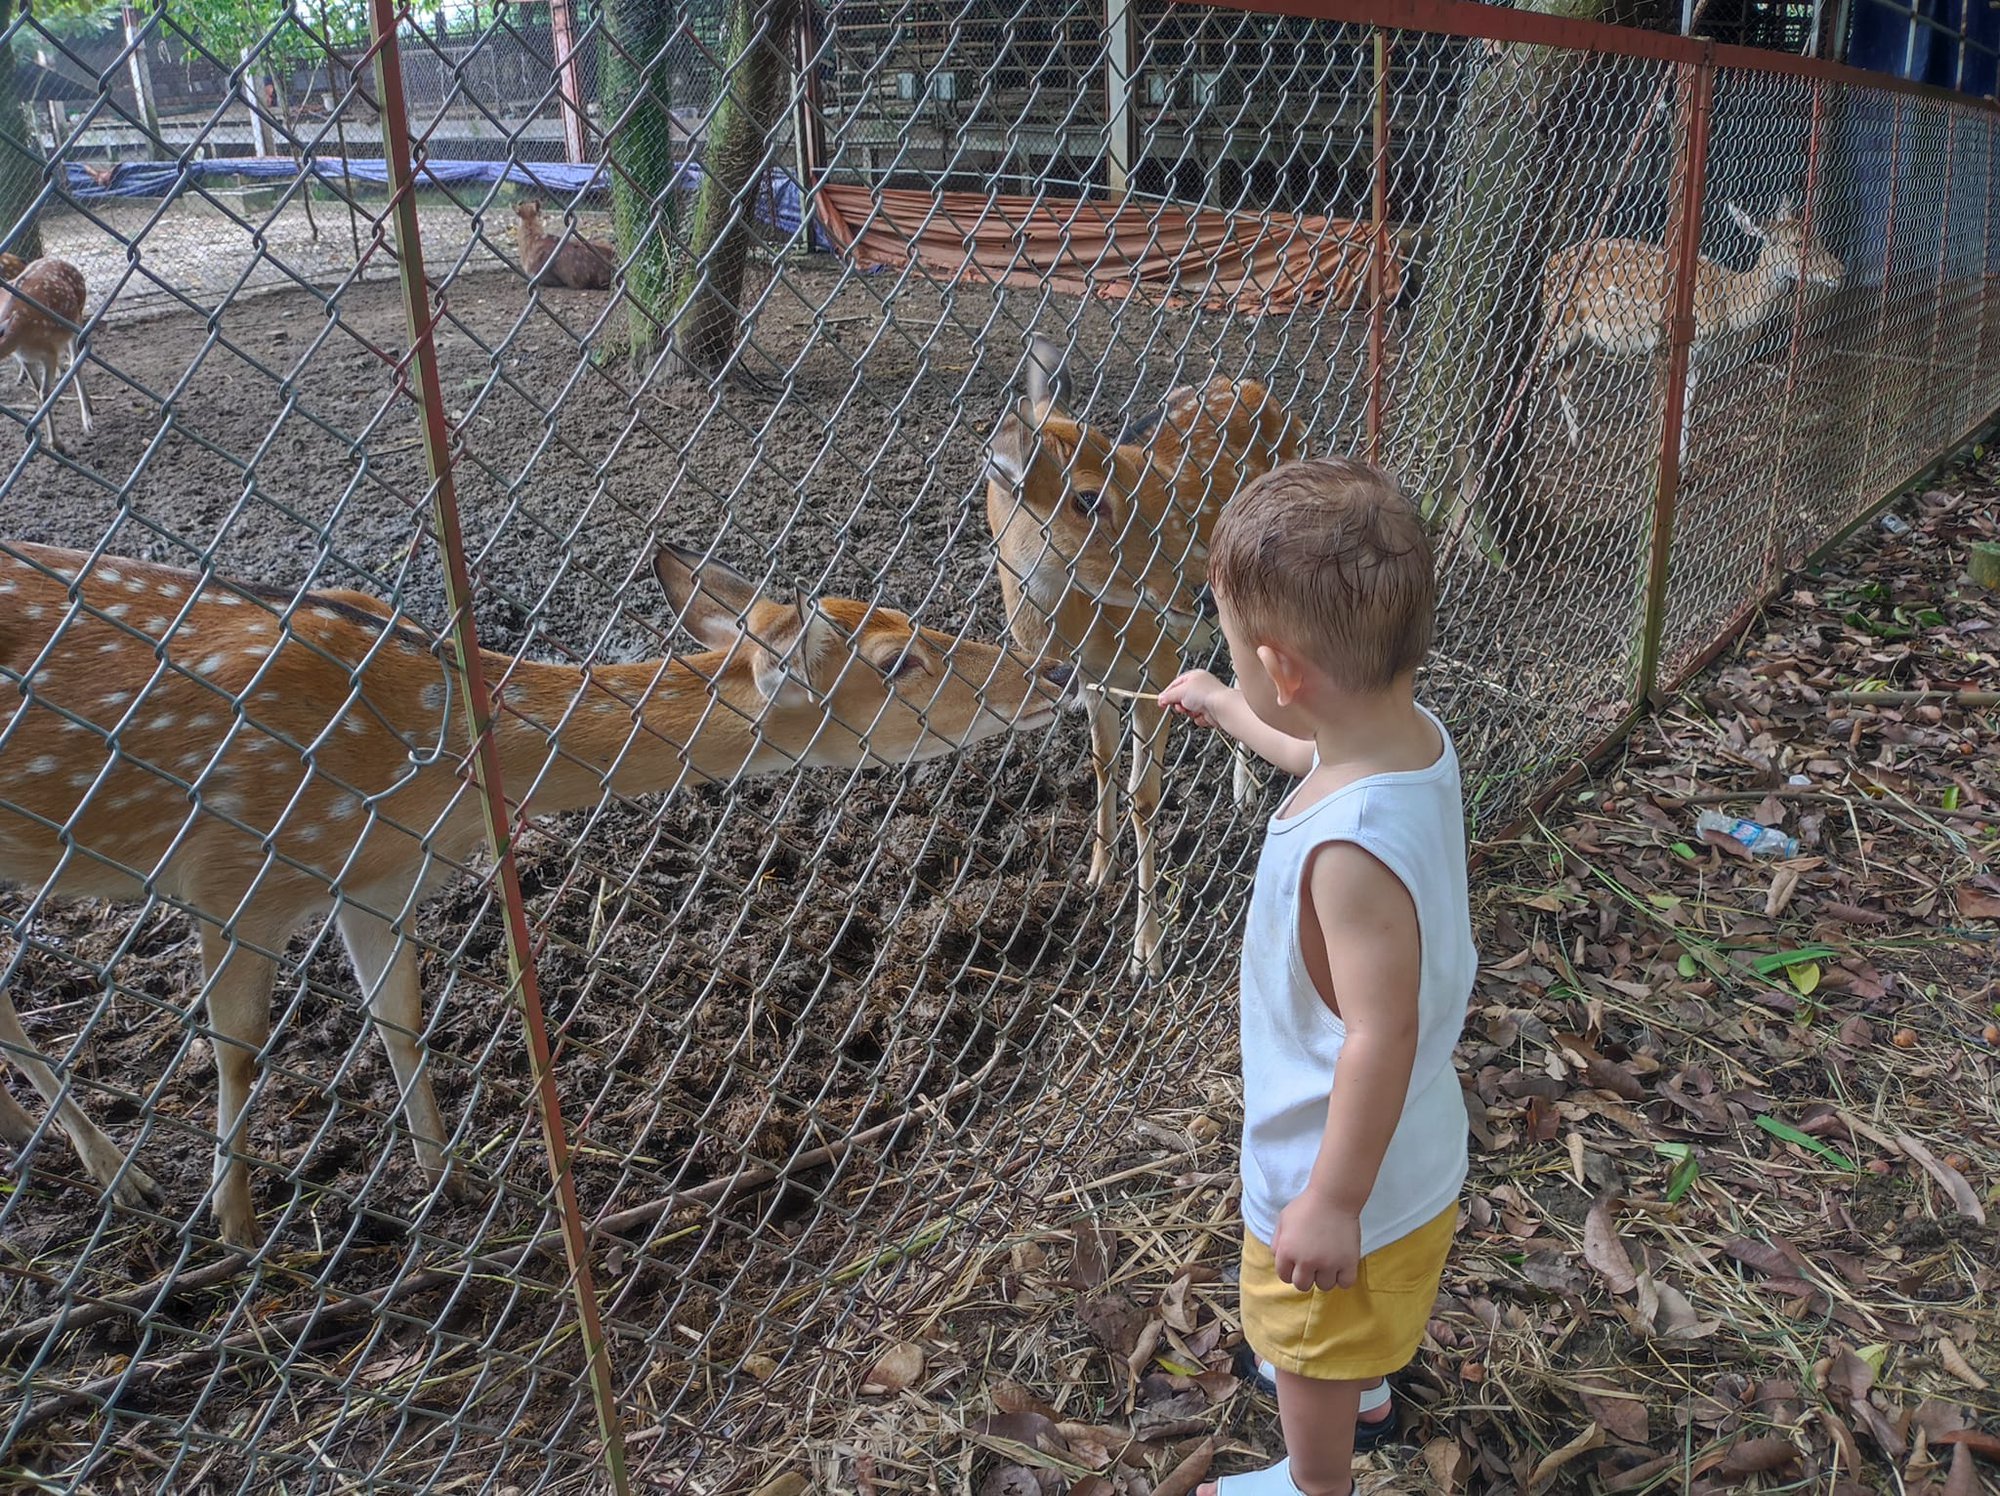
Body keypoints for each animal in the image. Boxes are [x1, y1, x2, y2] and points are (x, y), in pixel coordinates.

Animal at [0, 256, 93, 450]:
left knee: (76, 362)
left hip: (76, 318)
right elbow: (37, 390)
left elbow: (44, 392)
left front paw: (56, 444)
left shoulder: (48, 352)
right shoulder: (24, 358)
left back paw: (87, 417)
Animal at [3, 544, 1080, 1248]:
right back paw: (123, 1175)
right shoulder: (236, 870)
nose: (1055, 668)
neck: (428, 755)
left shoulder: (380, 878)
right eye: (899, 661)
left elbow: (400, 1020)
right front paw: (232, 1229)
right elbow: (235, 1053)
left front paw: (446, 1176)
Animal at [988, 336, 1304, 980]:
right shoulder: (1095, 684)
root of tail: (1263, 392)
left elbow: (1146, 798)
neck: (1086, 635)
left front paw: (1147, 954)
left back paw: (1249, 789)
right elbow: (1101, 763)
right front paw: (1095, 874)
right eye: (1087, 498)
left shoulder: (1155, 667)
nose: (1197, 592)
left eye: (1133, 474)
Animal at [1544, 199, 1840, 458]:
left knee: (1563, 377)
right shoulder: (1677, 345)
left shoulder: (1700, 358)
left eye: (1817, 235)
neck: (1728, 305)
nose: (1839, 272)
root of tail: (1550, 263)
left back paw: (1579, 441)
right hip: (1560, 324)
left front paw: (1683, 463)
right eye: (1798, 243)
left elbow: (1689, 404)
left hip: (1587, 341)